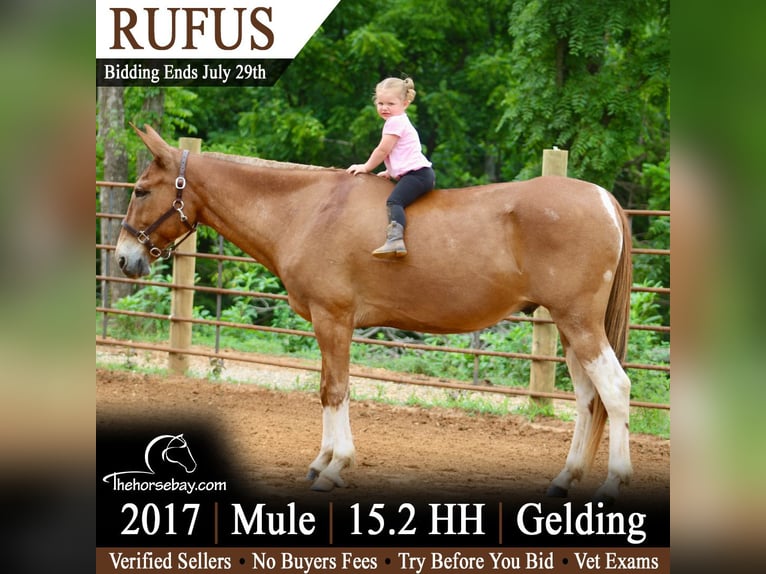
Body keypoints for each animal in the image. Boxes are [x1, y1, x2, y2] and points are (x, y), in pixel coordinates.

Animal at [115, 124, 633, 503]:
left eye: (140, 190)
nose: (123, 258)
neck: (305, 209)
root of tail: (603, 199)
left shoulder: (333, 318)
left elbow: (335, 390)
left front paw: (335, 466)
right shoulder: (327, 323)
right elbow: (328, 389)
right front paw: (322, 462)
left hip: (579, 323)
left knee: (615, 389)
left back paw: (614, 483)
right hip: (568, 327)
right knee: (589, 398)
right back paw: (566, 479)